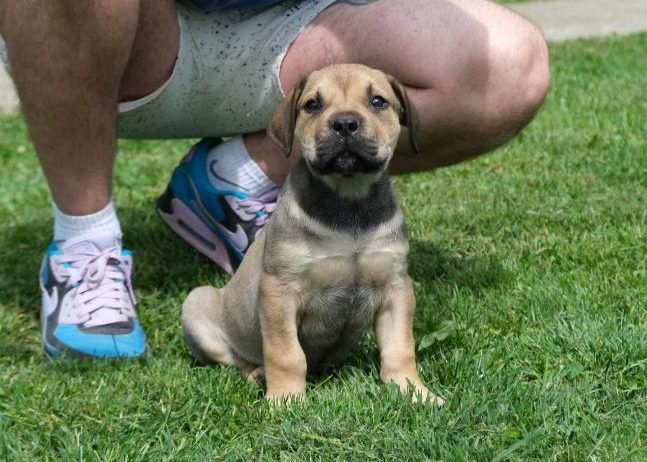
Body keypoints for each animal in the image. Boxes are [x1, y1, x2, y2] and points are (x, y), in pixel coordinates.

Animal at [182, 64, 446, 404]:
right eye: (313, 105)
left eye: (377, 101)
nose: (345, 124)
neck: (349, 201)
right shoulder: (279, 290)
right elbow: (286, 353)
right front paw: (285, 400)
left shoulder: (395, 287)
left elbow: (400, 347)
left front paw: (414, 391)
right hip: (197, 303)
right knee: (235, 359)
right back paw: (258, 373)